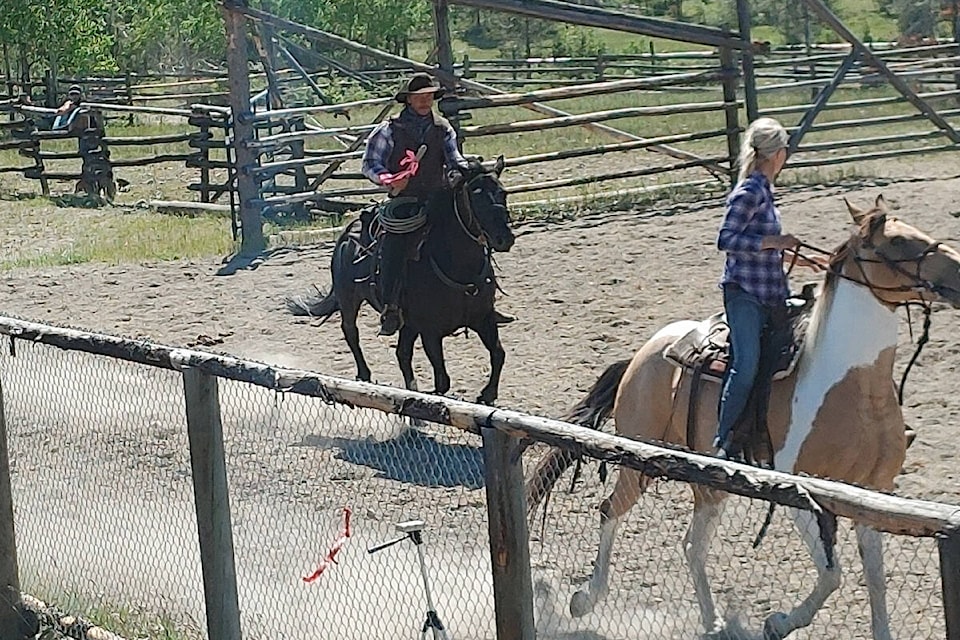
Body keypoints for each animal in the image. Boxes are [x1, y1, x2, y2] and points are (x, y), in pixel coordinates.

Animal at [290, 158, 516, 402]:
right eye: (475, 195)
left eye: (503, 193)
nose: (505, 238)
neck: (459, 268)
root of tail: (348, 232)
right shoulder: (430, 331)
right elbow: (442, 381)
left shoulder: (483, 318)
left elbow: (498, 354)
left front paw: (488, 394)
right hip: (349, 299)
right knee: (351, 331)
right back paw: (364, 375)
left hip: (406, 323)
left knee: (402, 352)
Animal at [528, 195, 960, 640]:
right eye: (897, 241)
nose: (958, 270)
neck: (850, 384)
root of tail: (641, 355)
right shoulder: (801, 490)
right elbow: (832, 574)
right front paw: (779, 622)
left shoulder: (871, 492)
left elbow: (874, 577)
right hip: (638, 462)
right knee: (610, 510)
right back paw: (586, 599)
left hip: (708, 483)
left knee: (691, 544)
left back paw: (713, 622)